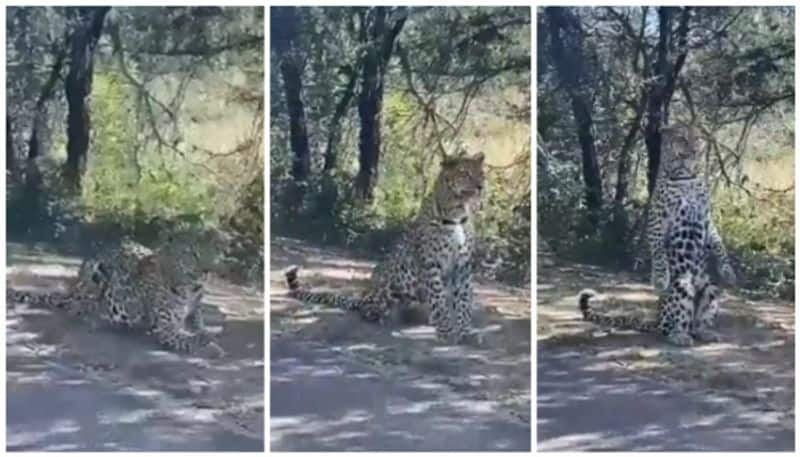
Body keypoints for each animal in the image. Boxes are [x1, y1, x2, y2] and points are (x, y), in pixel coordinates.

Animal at [284, 152, 484, 342]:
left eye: (481, 173)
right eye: (465, 173)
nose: (481, 186)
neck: (457, 213)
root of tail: (365, 294)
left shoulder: (463, 265)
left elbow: (464, 301)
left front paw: (465, 332)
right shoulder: (431, 263)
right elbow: (439, 299)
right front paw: (446, 330)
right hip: (389, 283)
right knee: (369, 307)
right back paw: (380, 315)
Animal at [580, 123, 736, 344]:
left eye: (697, 139)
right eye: (681, 139)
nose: (692, 152)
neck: (687, 178)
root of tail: (657, 318)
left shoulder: (707, 219)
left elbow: (718, 242)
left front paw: (728, 271)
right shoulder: (657, 221)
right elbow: (658, 250)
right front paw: (660, 278)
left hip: (710, 288)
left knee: (698, 321)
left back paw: (705, 332)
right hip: (682, 285)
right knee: (675, 321)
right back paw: (679, 335)